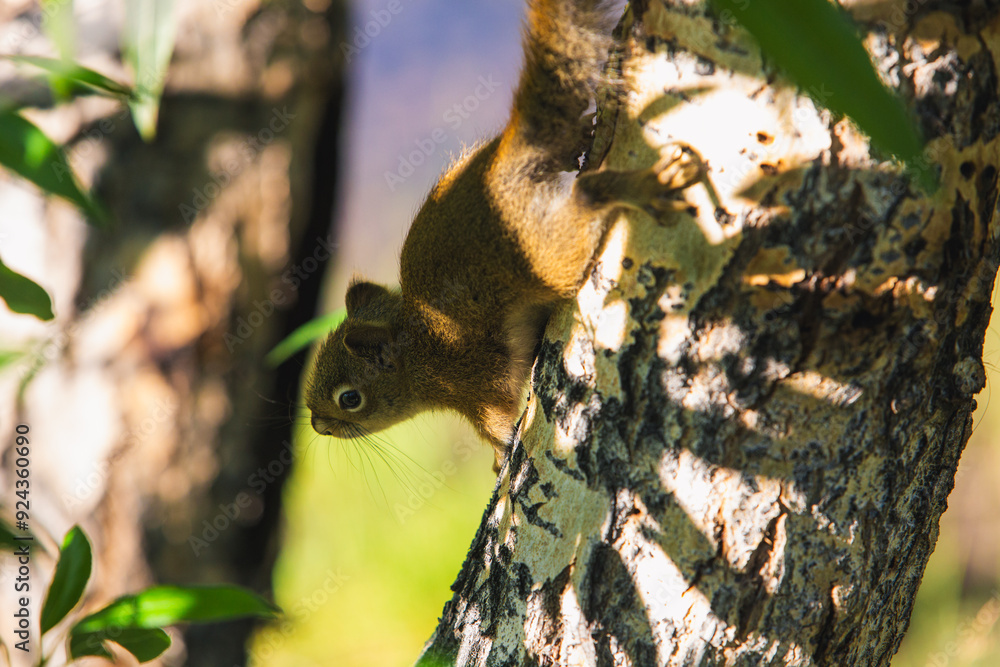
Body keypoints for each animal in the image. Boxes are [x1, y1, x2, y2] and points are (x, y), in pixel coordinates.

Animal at [305, 0, 702, 470]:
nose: (317, 426)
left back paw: (638, 188)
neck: (416, 352)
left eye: (350, 399)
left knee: (589, 197)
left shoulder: (472, 382)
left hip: (543, 254)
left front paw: (499, 455)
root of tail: (504, 163)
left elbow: (494, 424)